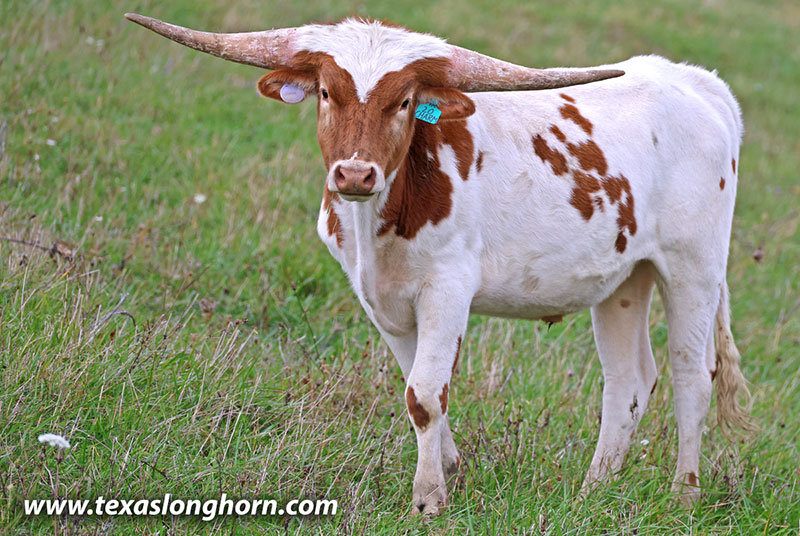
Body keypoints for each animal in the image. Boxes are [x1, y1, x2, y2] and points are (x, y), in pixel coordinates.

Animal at [126, 14, 755, 515]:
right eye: (326, 92)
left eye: (404, 101)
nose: (355, 173)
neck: (382, 219)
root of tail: (697, 82)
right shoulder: (379, 297)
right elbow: (417, 385)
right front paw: (451, 471)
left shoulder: (448, 288)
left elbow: (426, 393)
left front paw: (428, 498)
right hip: (624, 279)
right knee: (628, 382)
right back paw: (593, 491)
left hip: (694, 268)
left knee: (692, 376)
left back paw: (684, 493)